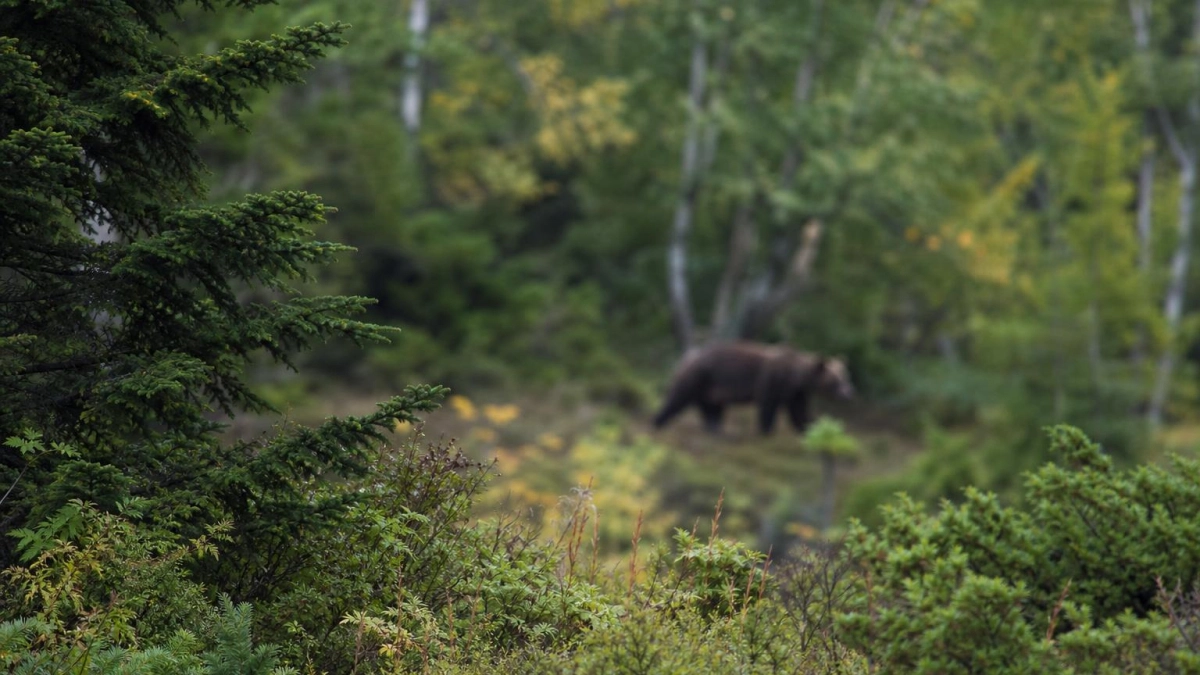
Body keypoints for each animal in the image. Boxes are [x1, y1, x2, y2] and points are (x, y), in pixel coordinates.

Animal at [652, 341, 856, 436]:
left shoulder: (796, 393)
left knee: (712, 409)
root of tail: (687, 356)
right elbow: (767, 406)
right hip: (700, 376)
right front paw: (767, 431)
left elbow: (799, 413)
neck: (794, 377)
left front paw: (808, 427)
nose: (848, 393)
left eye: (846, 376)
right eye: (837, 380)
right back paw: (657, 422)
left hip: (711, 389)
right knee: (677, 399)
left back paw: (716, 430)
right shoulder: (772, 380)